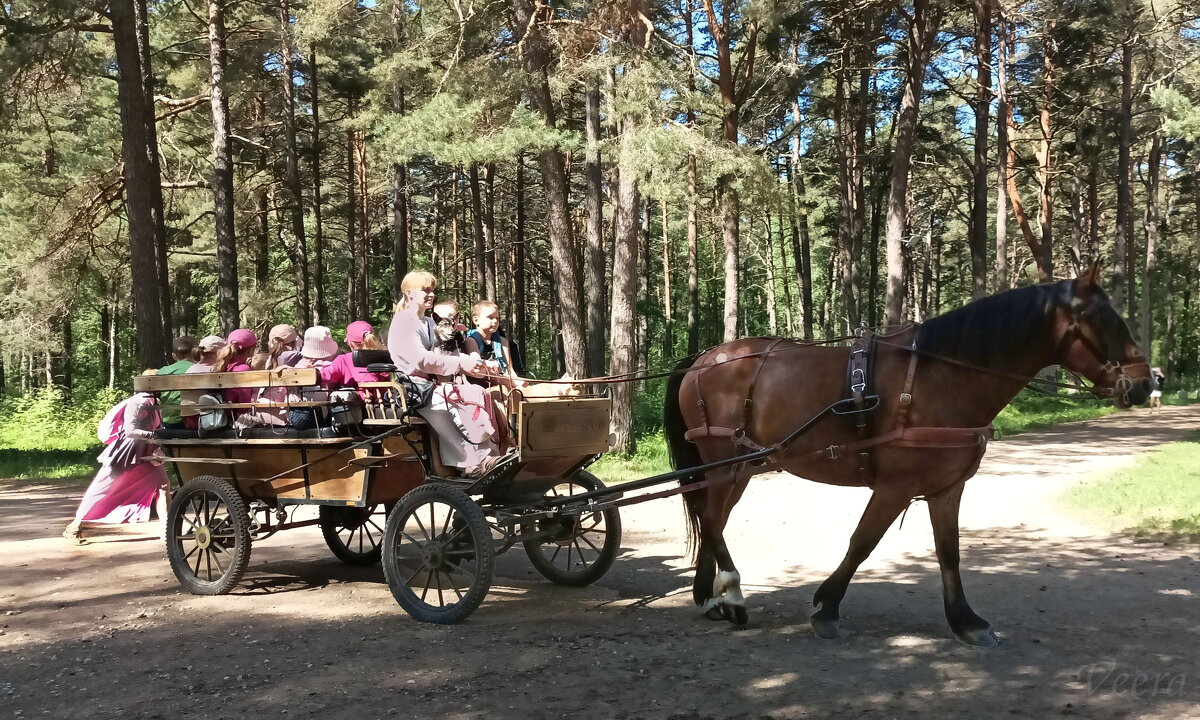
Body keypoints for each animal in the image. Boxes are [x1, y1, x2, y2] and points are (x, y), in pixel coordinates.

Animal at [667, 268, 1152, 648]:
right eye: (1104, 321)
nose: (1148, 383)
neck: (944, 376)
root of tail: (706, 356)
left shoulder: (947, 487)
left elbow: (949, 552)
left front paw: (965, 621)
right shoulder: (895, 487)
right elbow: (862, 542)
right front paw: (827, 607)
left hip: (740, 467)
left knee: (714, 519)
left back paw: (710, 597)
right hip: (724, 462)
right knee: (711, 520)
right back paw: (731, 593)